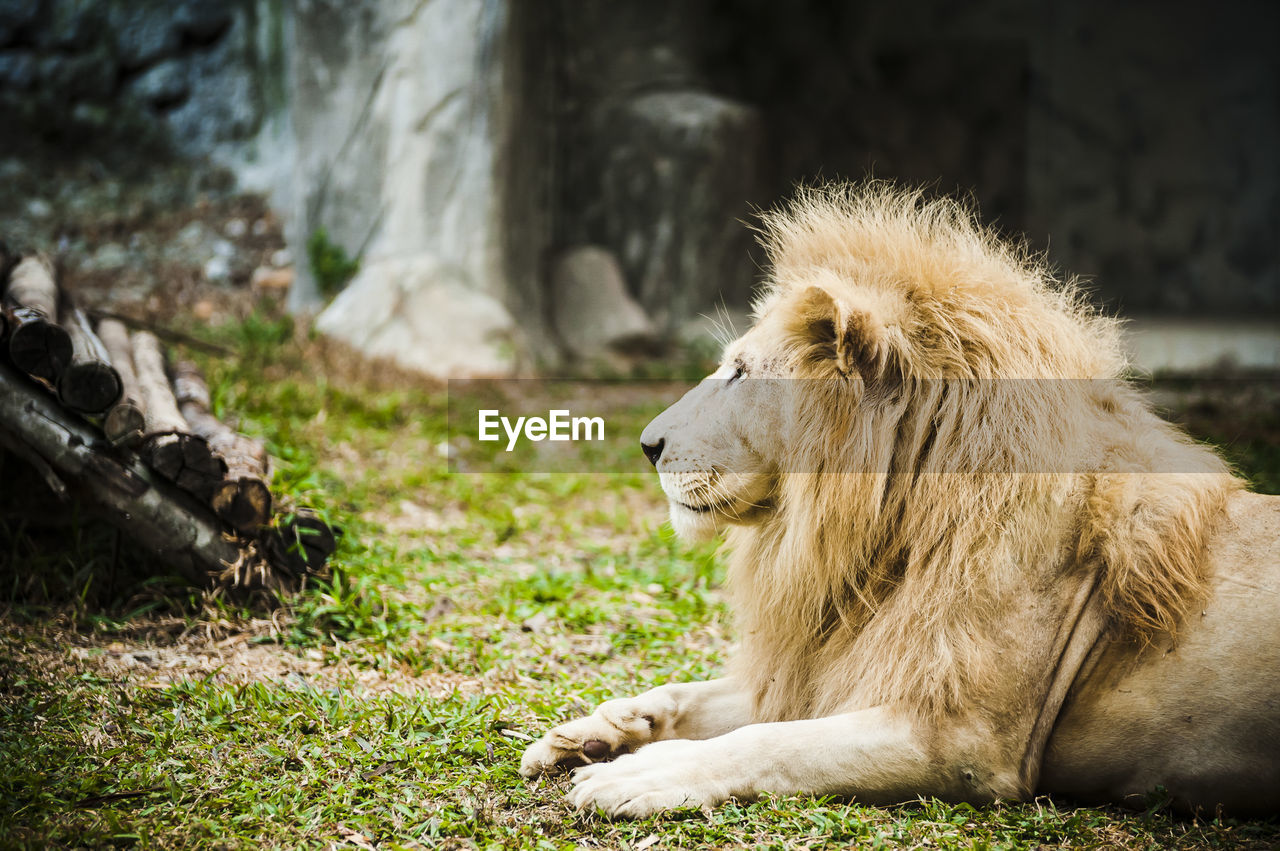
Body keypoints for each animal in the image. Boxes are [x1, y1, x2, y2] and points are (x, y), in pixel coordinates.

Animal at [514, 184, 1274, 819]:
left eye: (741, 373)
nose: (646, 444)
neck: (883, 537)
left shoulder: (961, 739)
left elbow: (768, 741)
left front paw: (642, 772)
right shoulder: (826, 668)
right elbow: (688, 693)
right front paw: (592, 731)